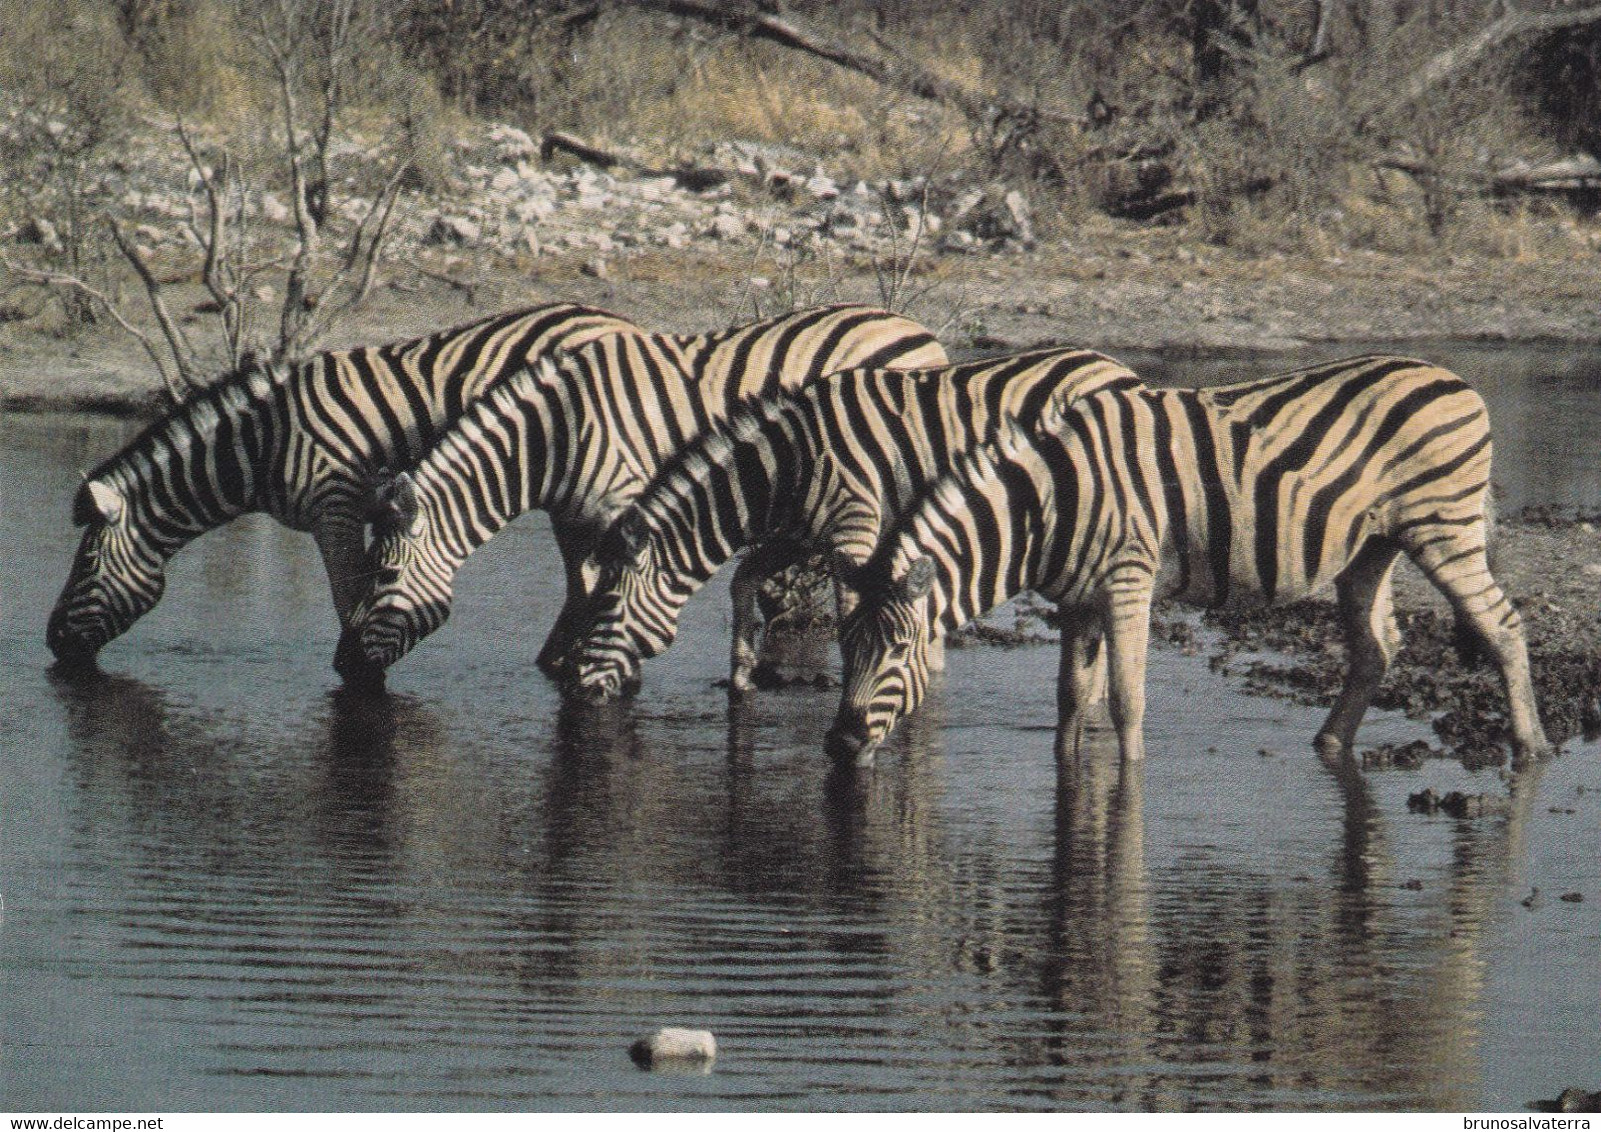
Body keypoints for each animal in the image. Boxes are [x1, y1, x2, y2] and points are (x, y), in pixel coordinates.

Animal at [50, 305, 650, 669]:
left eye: (85, 564)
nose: (51, 642)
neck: (264, 442)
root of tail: (625, 323)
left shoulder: (334, 507)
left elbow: (351, 596)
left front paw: (359, 668)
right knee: (583, 584)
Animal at [329, 302, 941, 682]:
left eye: (382, 575)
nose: (342, 667)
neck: (561, 432)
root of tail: (917, 328)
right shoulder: (573, 520)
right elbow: (582, 594)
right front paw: (559, 666)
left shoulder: (624, 512)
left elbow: (609, 591)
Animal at [560, 347, 1139, 698]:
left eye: (608, 607)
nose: (578, 689)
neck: (787, 466)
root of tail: (1121, 370)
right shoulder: (803, 535)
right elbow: (743, 581)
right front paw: (741, 676)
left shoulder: (852, 528)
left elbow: (847, 611)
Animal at [826, 358, 1549, 771]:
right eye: (845, 649)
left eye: (897, 652)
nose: (838, 745)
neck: (1050, 505)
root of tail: (1455, 380)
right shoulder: (1075, 597)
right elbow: (1071, 697)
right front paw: (1067, 769)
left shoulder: (1126, 580)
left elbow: (1125, 697)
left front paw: (1131, 777)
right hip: (1370, 546)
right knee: (1377, 647)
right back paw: (1328, 744)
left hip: (1443, 527)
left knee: (1503, 627)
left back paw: (1530, 747)